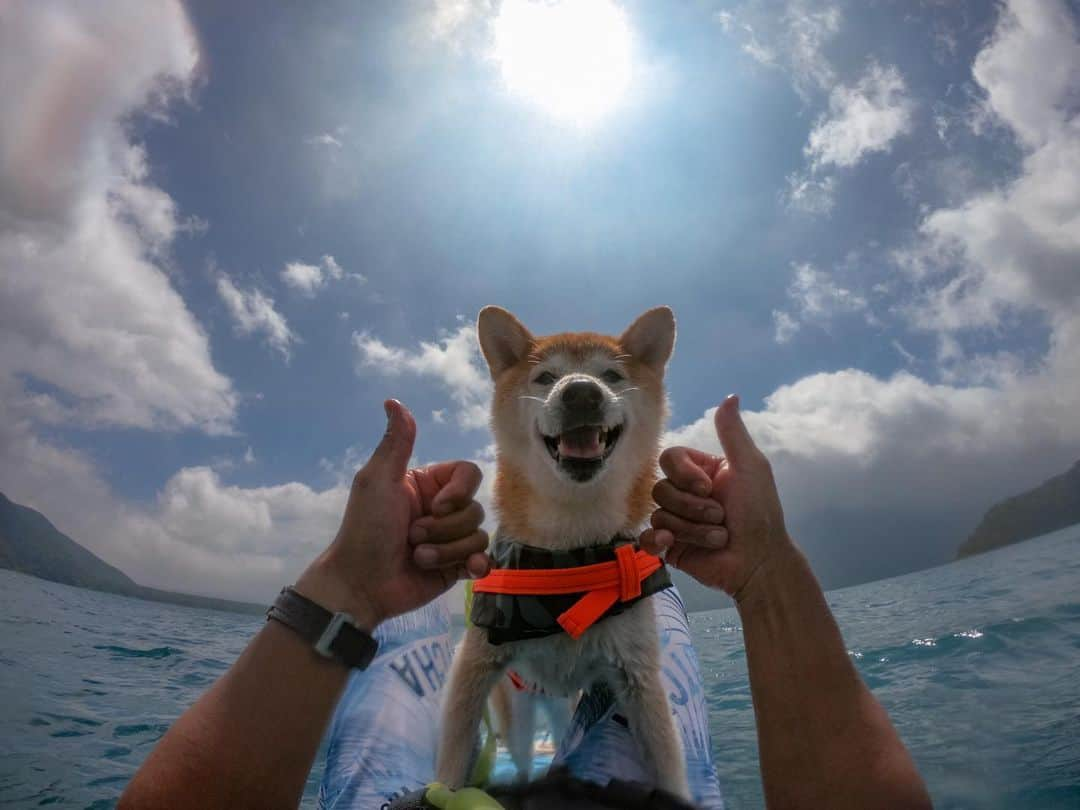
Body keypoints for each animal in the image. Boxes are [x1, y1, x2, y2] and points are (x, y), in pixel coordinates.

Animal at [434, 304, 686, 799]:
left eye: (612, 374)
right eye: (545, 377)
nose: (582, 393)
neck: (569, 552)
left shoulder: (638, 675)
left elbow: (669, 768)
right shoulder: (475, 665)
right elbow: (450, 766)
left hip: (561, 703)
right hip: (517, 711)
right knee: (521, 755)